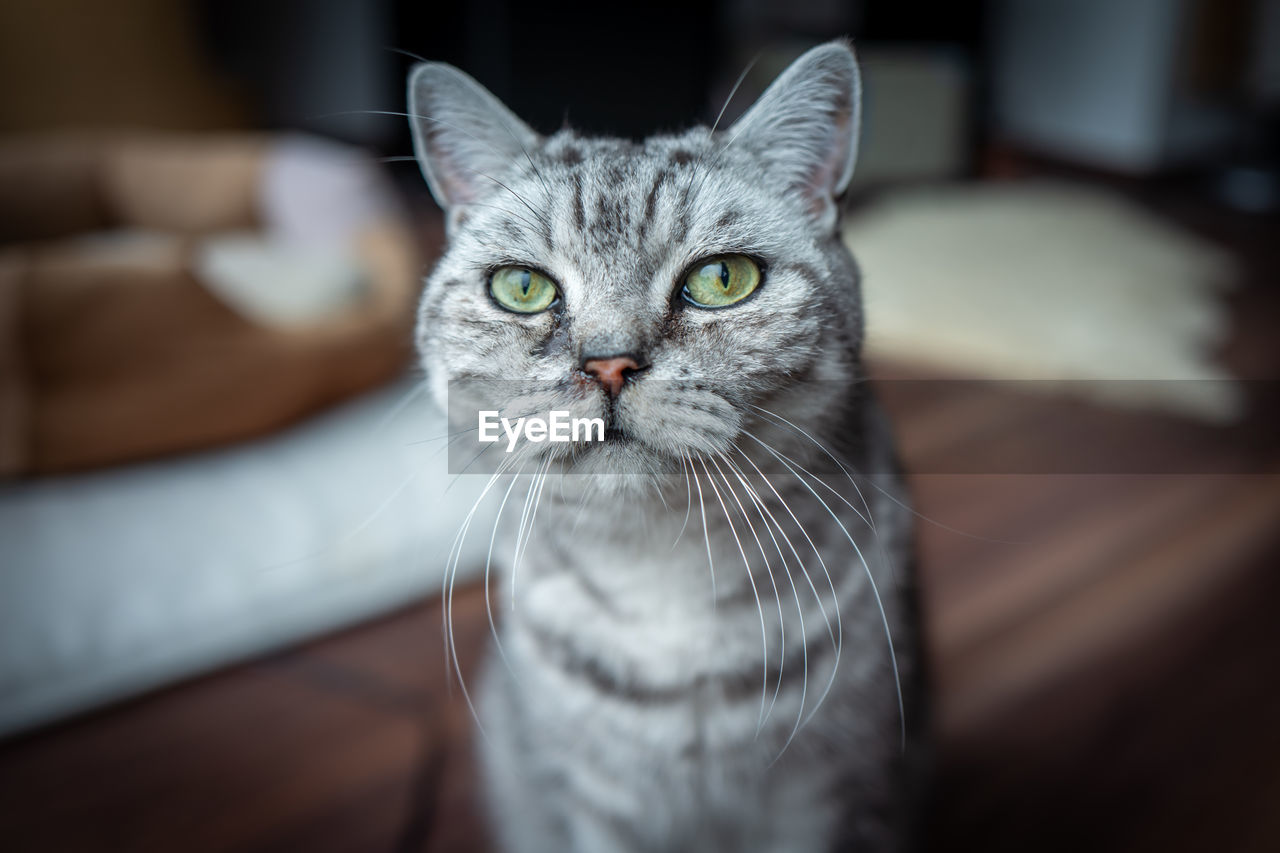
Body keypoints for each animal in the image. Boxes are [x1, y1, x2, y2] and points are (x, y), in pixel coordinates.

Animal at [409, 41, 931, 850]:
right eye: (522, 288)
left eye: (722, 278)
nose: (607, 363)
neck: (662, 574)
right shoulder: (595, 803)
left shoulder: (834, 789)